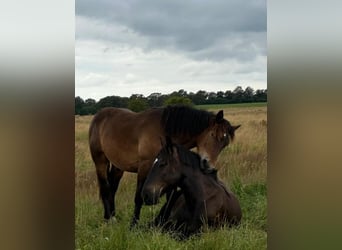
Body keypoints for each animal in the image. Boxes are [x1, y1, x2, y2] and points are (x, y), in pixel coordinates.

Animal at [88, 104, 240, 226]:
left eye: (224, 144)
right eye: (213, 135)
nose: (208, 165)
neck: (164, 131)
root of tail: (99, 115)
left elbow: (169, 198)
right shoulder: (145, 167)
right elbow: (138, 198)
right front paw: (134, 224)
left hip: (118, 166)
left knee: (112, 189)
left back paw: (111, 216)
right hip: (100, 161)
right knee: (105, 188)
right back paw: (109, 219)